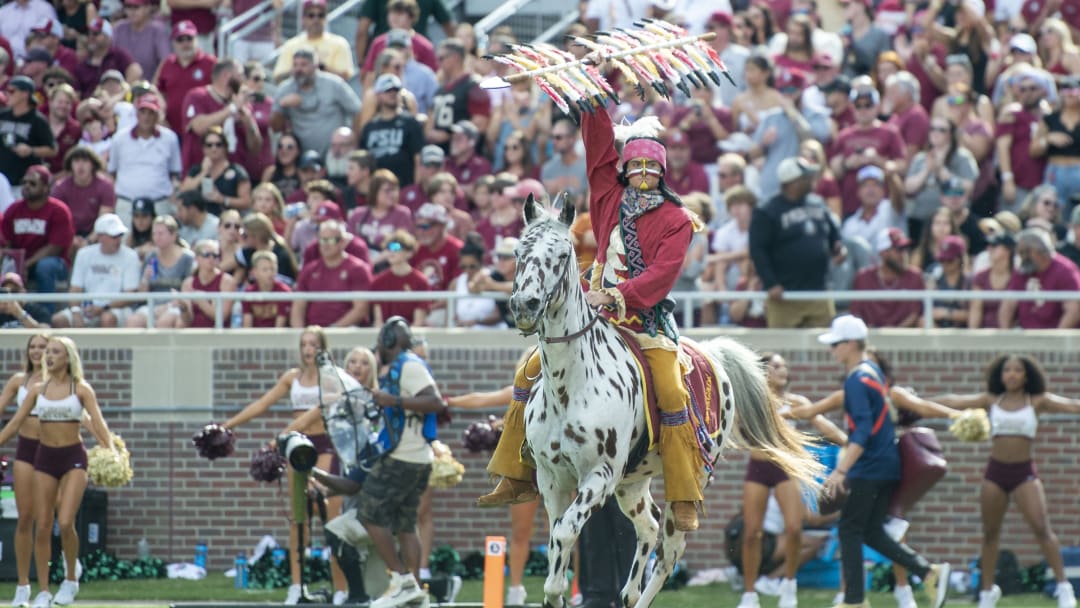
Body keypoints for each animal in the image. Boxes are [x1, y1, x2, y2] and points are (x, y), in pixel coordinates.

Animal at [507, 197, 816, 608]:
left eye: (560, 254)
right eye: (518, 252)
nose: (525, 305)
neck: (570, 386)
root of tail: (712, 354)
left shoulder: (600, 476)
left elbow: (565, 533)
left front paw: (558, 590)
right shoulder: (552, 477)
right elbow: (559, 540)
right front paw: (556, 593)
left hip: (684, 481)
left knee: (670, 549)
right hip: (632, 484)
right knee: (649, 527)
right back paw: (628, 592)